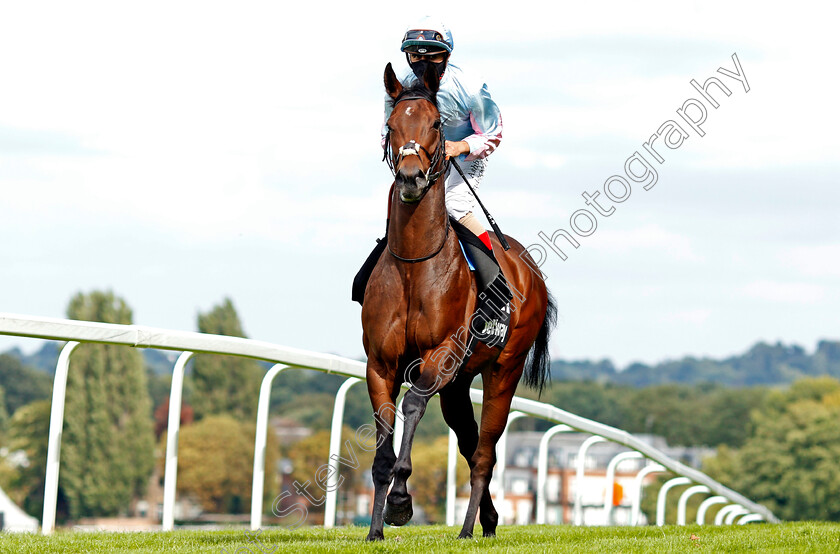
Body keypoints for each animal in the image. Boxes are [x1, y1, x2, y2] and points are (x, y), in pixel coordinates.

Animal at [362, 62, 556, 536]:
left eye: (436, 123)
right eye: (391, 126)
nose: (411, 177)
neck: (415, 264)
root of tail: (532, 272)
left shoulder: (442, 352)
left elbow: (413, 403)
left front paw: (400, 499)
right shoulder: (380, 363)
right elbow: (383, 438)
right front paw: (375, 528)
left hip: (503, 371)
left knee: (484, 452)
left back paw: (470, 528)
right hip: (458, 385)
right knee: (469, 444)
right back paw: (487, 518)